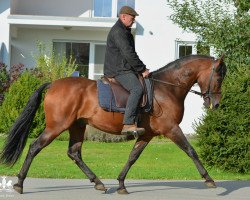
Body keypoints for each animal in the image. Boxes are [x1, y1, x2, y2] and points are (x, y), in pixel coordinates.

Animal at [0, 54, 227, 194]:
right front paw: (209, 179)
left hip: (77, 126)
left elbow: (132, 157)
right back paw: (19, 183)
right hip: (56, 127)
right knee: (34, 147)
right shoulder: (171, 129)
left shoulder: (147, 134)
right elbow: (191, 151)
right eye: (219, 77)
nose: (216, 104)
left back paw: (98, 183)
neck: (167, 88)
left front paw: (121, 184)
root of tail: (53, 84)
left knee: (74, 153)